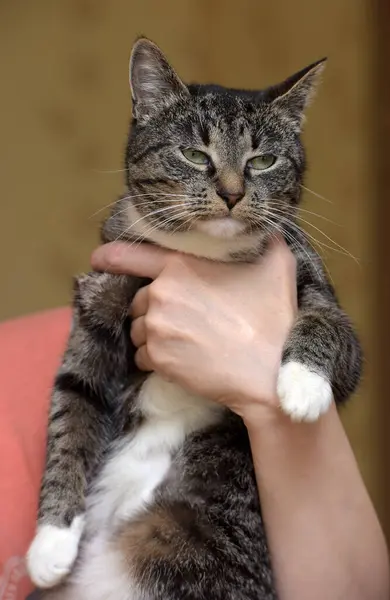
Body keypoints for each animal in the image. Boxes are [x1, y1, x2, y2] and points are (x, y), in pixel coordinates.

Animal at [26, 38, 362, 600]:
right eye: (194, 154)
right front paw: (50, 542)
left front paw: (301, 387)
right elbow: (72, 408)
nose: (231, 192)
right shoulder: (98, 301)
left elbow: (326, 324)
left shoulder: (319, 291)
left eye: (263, 160)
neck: (200, 254)